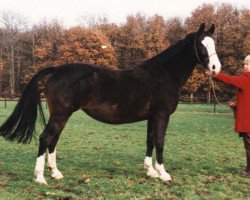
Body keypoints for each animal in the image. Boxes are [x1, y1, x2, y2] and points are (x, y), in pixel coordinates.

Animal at [0, 22, 221, 184]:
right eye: (201, 45)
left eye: (214, 44)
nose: (215, 67)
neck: (165, 73)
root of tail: (57, 69)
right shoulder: (161, 115)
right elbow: (159, 142)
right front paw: (163, 174)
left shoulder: (152, 117)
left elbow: (150, 141)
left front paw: (150, 171)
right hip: (60, 114)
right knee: (45, 138)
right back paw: (40, 178)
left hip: (62, 115)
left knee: (53, 140)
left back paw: (55, 173)